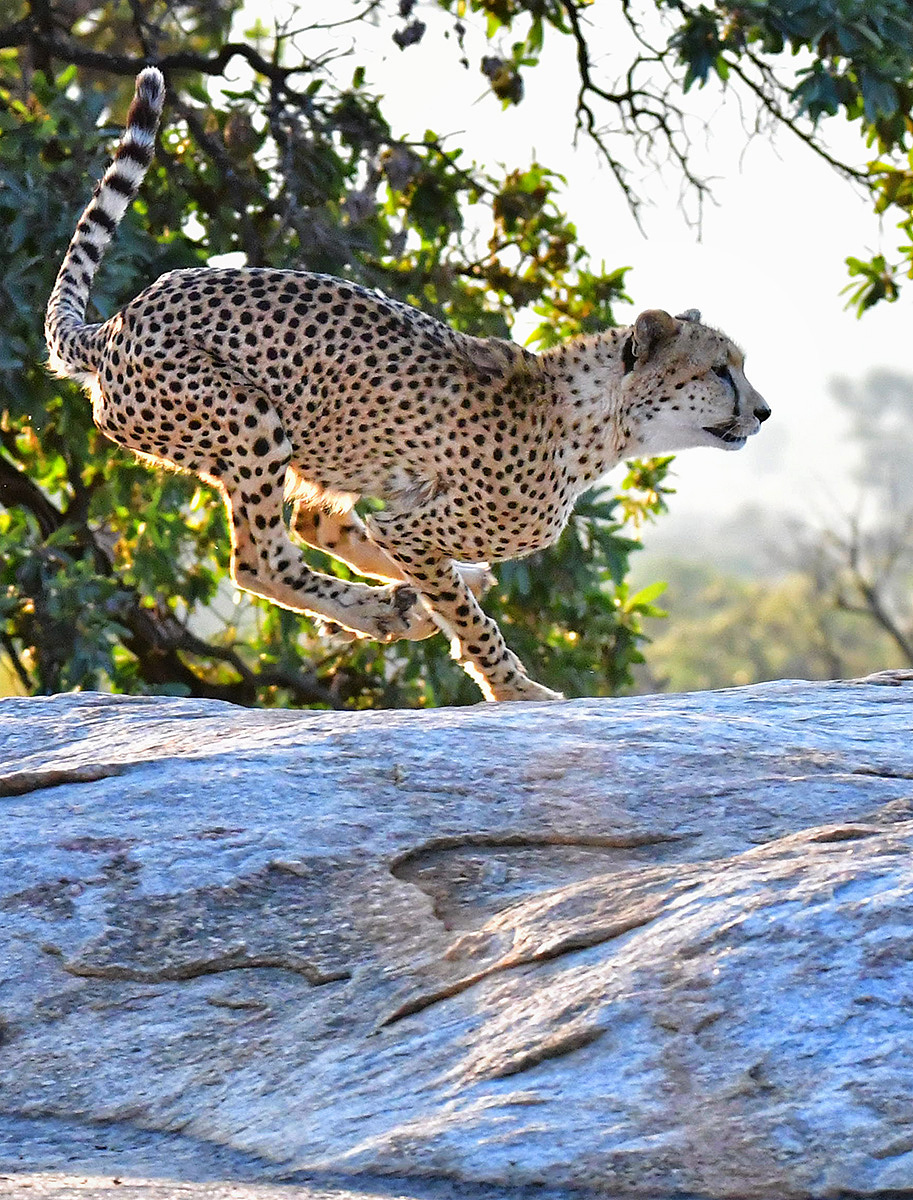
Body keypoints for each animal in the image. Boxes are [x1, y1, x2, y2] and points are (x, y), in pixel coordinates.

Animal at [45, 67, 770, 703]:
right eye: (719, 369)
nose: (763, 412)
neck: (602, 422)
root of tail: (120, 320)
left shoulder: (408, 512)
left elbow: (422, 567)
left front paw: (458, 614)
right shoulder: (419, 526)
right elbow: (467, 617)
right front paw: (513, 687)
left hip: (318, 447)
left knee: (313, 524)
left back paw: (409, 599)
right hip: (248, 419)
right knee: (261, 561)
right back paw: (380, 609)